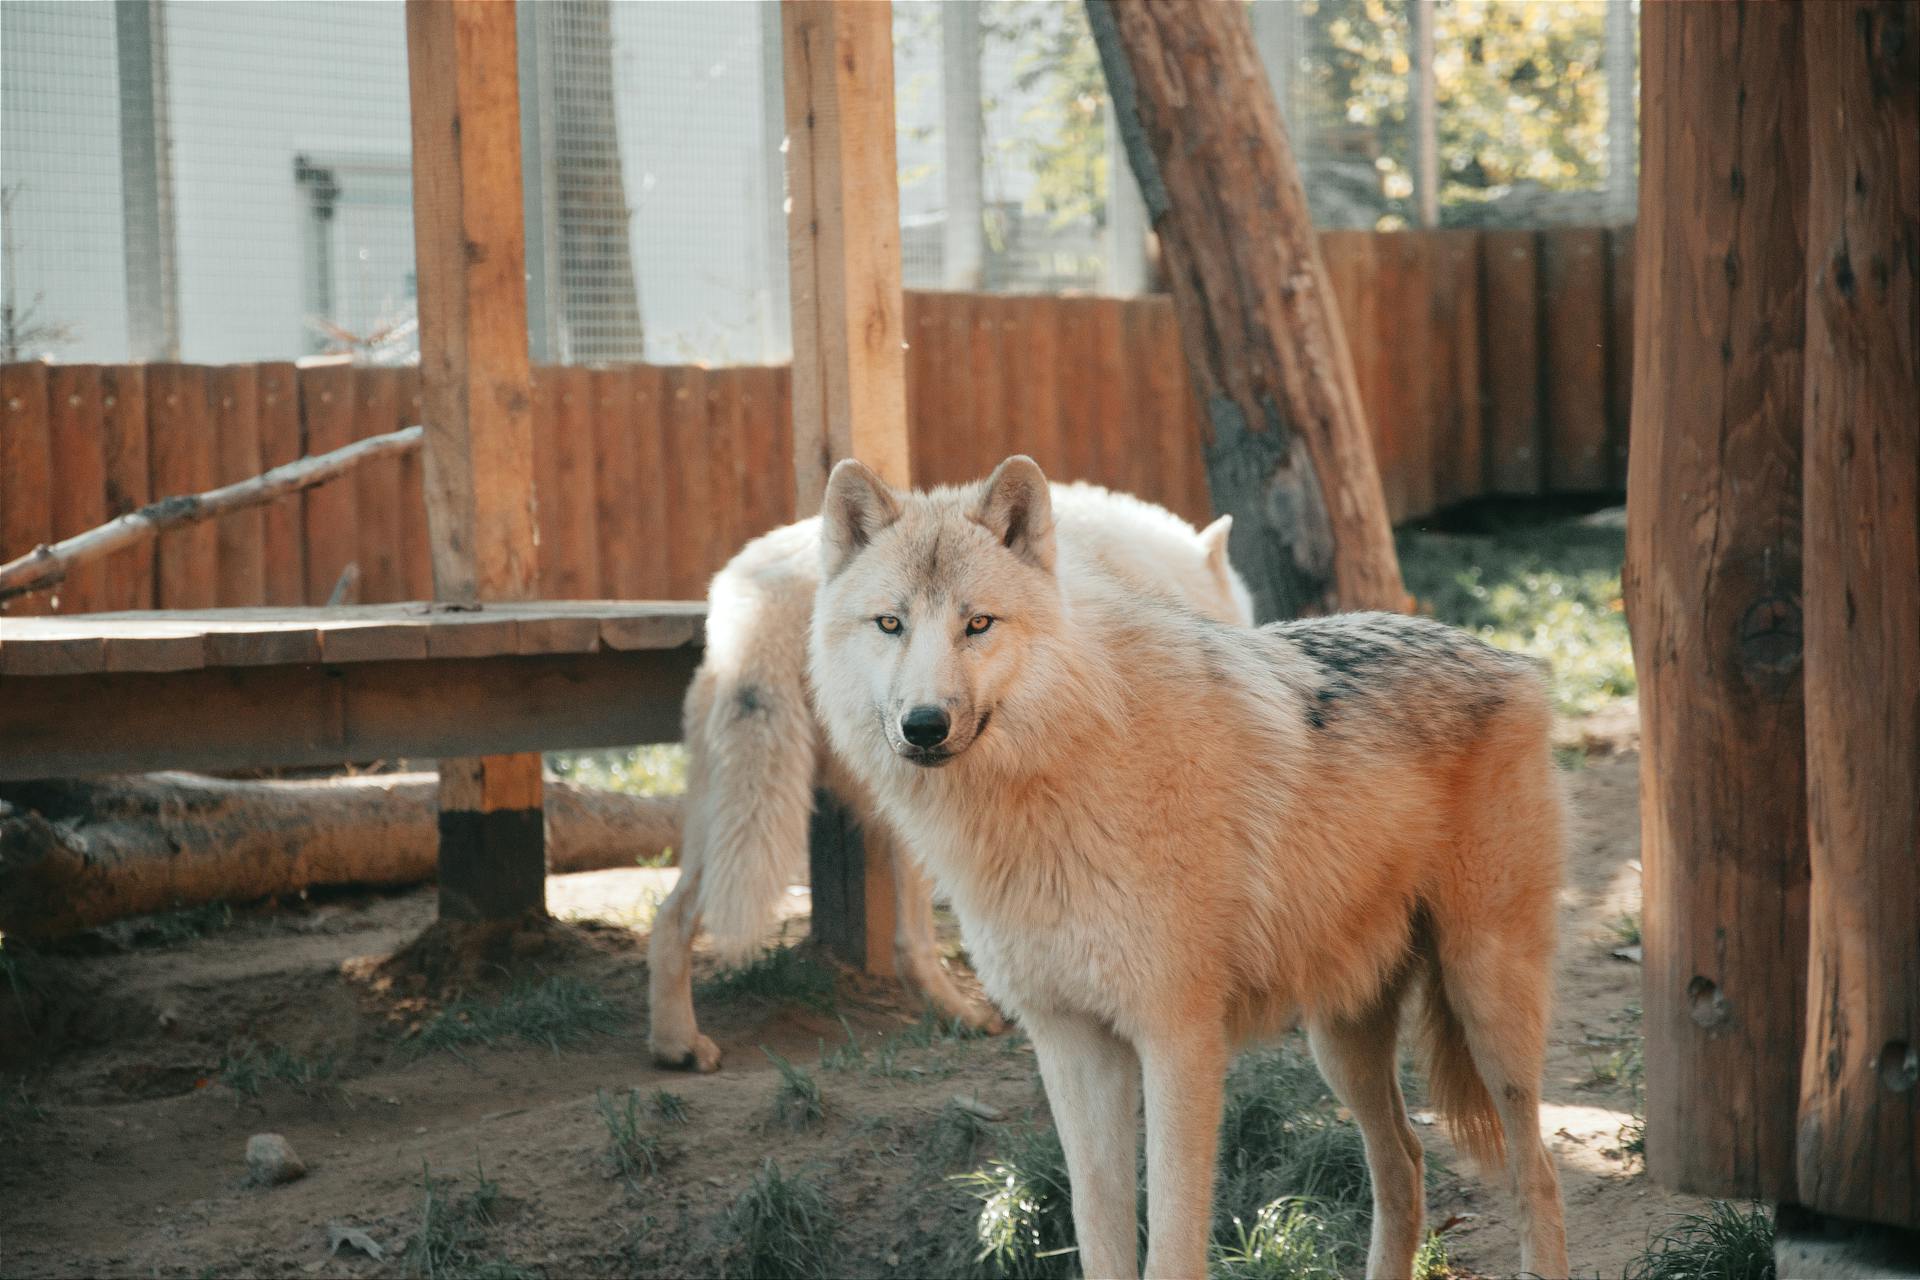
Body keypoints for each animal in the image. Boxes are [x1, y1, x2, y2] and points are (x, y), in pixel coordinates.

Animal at [802, 458, 1566, 1280]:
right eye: (890, 624)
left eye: (978, 624)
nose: (923, 725)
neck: (1062, 777)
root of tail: (1506, 656)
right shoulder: (1071, 1045)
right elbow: (1099, 1233)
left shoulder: (1178, 1040)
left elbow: (1170, 1241)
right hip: (1342, 1044)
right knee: (1407, 1163)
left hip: (1486, 1002)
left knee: (1537, 1174)